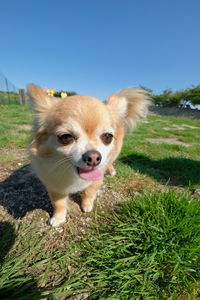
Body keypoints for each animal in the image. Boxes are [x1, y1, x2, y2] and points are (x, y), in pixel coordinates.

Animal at [27, 84, 150, 225]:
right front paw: (58, 218)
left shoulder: (96, 179)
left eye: (107, 137)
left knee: (110, 161)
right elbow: (58, 203)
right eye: (66, 137)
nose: (94, 157)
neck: (73, 176)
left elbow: (89, 192)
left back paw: (111, 171)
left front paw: (87, 205)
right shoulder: (54, 185)